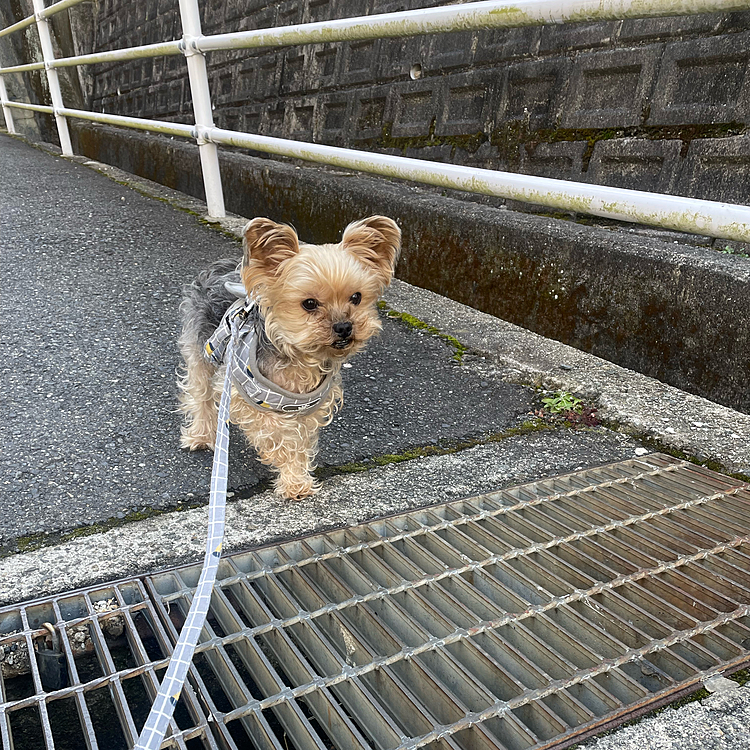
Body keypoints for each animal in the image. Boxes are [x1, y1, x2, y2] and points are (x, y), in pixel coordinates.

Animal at [178, 217, 400, 500]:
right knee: (200, 393)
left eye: (356, 297)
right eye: (309, 303)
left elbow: (299, 442)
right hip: (201, 347)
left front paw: (296, 480)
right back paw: (200, 436)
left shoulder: (309, 408)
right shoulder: (246, 398)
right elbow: (277, 435)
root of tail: (223, 266)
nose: (344, 327)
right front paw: (283, 465)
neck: (300, 358)